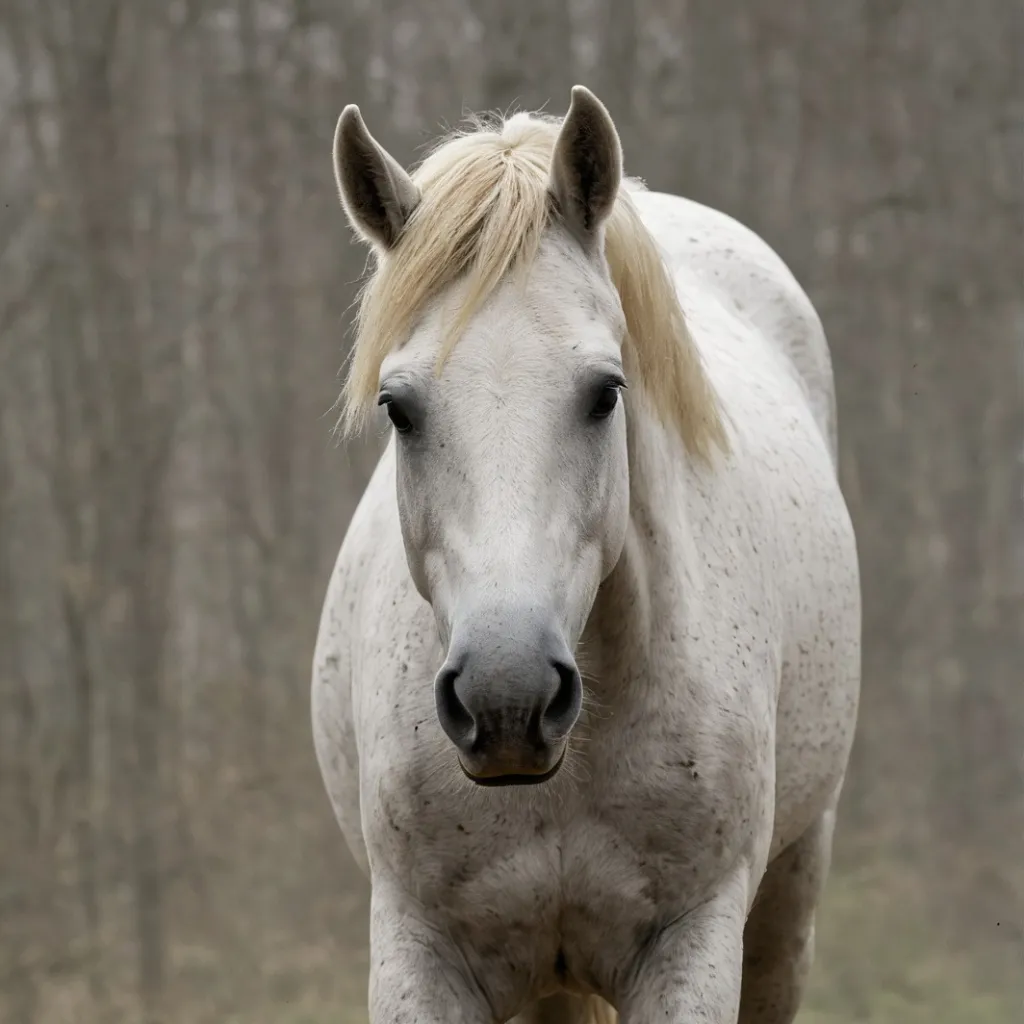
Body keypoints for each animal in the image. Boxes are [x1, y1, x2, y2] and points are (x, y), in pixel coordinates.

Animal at [311, 86, 861, 1024]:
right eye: (398, 408)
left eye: (605, 393)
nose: (507, 696)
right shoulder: (419, 953)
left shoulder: (693, 947)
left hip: (789, 896)